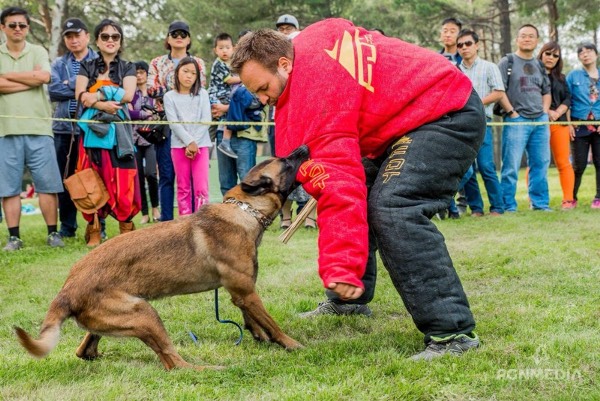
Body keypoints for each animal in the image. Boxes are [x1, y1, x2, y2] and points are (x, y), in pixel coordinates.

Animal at [15, 144, 310, 368]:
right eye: (285, 161)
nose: (305, 147)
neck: (244, 210)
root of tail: (66, 290)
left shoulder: (241, 293)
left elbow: (252, 319)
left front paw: (259, 335)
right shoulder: (247, 292)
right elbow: (272, 322)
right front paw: (291, 344)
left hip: (114, 319)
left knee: (84, 349)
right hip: (145, 314)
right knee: (173, 363)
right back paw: (208, 368)